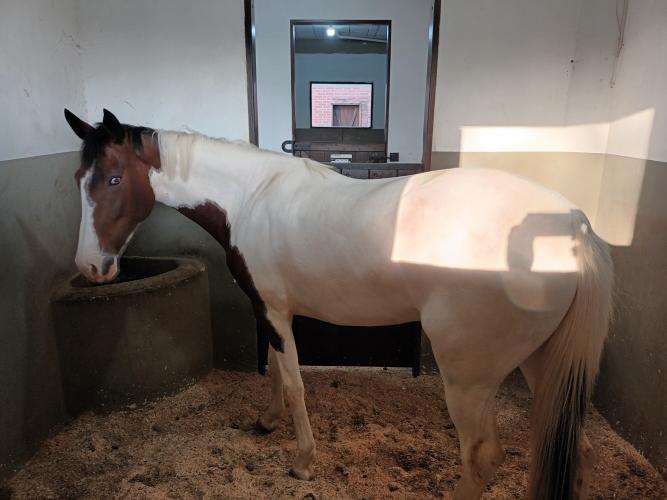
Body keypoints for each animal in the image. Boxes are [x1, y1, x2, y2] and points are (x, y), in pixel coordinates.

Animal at [64, 108, 613, 500]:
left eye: (113, 179)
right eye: (78, 179)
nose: (91, 267)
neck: (250, 197)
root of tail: (572, 222)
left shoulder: (275, 311)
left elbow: (294, 382)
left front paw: (303, 462)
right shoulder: (271, 310)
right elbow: (277, 373)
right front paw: (267, 422)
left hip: (470, 378)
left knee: (482, 458)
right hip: (540, 363)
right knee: (578, 450)